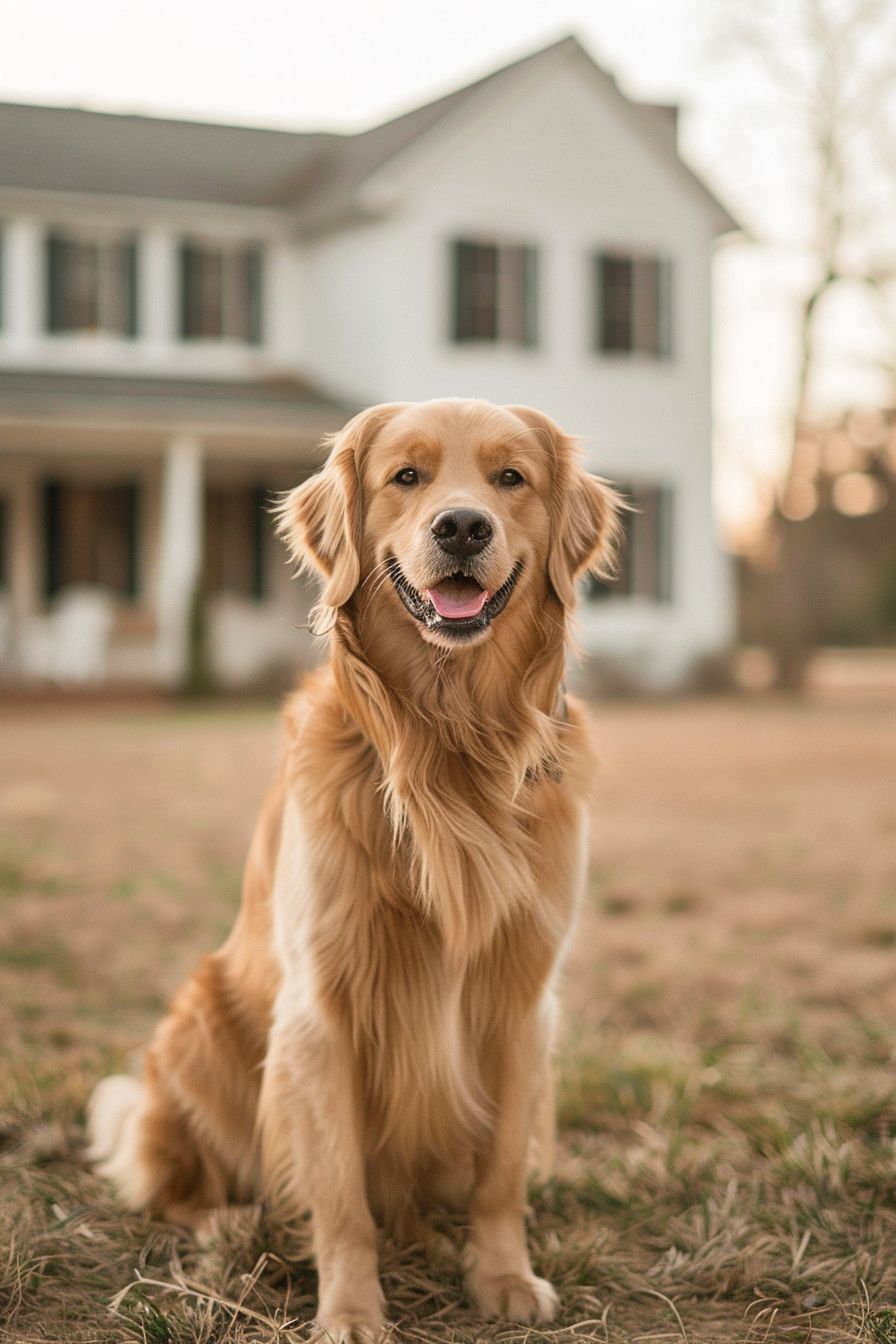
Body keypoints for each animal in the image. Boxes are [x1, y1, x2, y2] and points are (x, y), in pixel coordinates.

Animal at [91, 395, 623, 1333]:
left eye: (510, 477)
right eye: (405, 476)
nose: (461, 526)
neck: (448, 747)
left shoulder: (523, 996)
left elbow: (502, 1172)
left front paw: (502, 1277)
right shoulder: (321, 1008)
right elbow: (339, 1194)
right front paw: (349, 1311)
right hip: (198, 1027)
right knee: (176, 1181)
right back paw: (225, 1223)